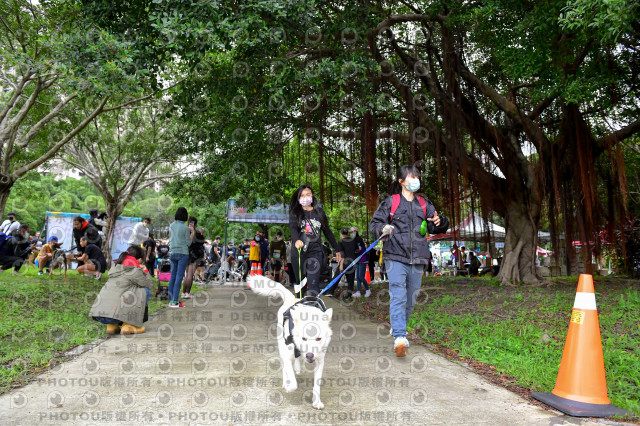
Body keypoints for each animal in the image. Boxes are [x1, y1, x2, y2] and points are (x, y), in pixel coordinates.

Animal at [246, 274, 332, 412]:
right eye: (303, 338)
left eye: (319, 339)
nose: (310, 355)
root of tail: (292, 298)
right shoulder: (288, 355)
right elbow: (292, 380)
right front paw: (289, 386)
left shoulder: (320, 361)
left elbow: (317, 385)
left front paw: (316, 401)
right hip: (282, 347)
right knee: (285, 366)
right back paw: (286, 380)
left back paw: (297, 367)